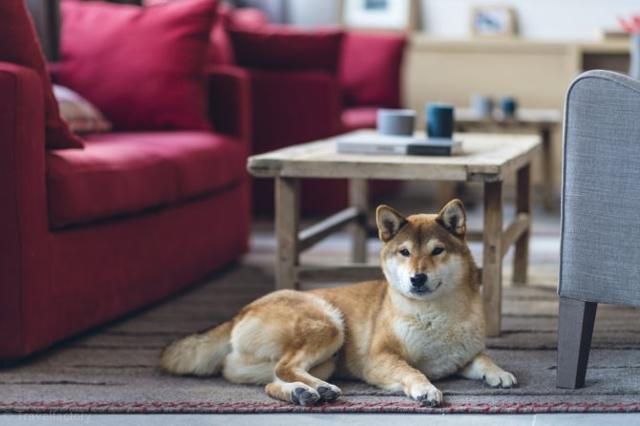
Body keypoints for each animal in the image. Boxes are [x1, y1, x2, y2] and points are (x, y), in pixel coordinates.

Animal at [160, 200, 516, 406]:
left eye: (437, 251)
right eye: (404, 252)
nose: (417, 278)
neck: (436, 315)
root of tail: (240, 313)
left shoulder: (462, 356)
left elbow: (483, 358)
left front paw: (499, 372)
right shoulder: (380, 357)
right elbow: (413, 371)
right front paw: (425, 389)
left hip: (323, 359)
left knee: (274, 381)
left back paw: (303, 393)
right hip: (329, 326)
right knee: (285, 367)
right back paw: (320, 389)